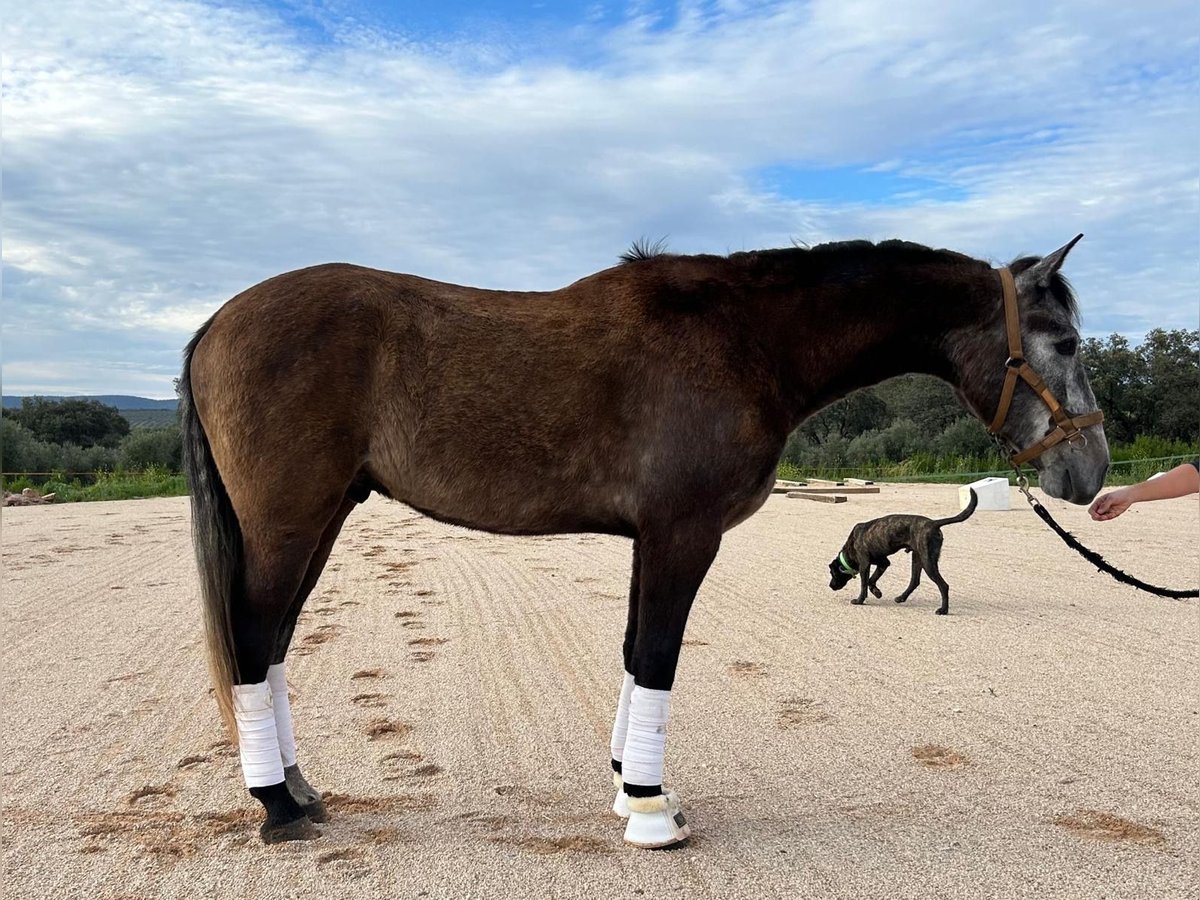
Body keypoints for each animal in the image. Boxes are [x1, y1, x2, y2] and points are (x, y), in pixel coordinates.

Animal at [830, 489, 979, 619]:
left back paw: (943, 610)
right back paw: (902, 597)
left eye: (833, 574)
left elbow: (864, 584)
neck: (850, 547)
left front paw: (860, 600)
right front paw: (877, 592)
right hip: (917, 558)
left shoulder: (865, 565)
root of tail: (933, 523)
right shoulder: (883, 563)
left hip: (928, 561)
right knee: (915, 581)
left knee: (943, 585)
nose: (830, 586)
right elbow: (871, 580)